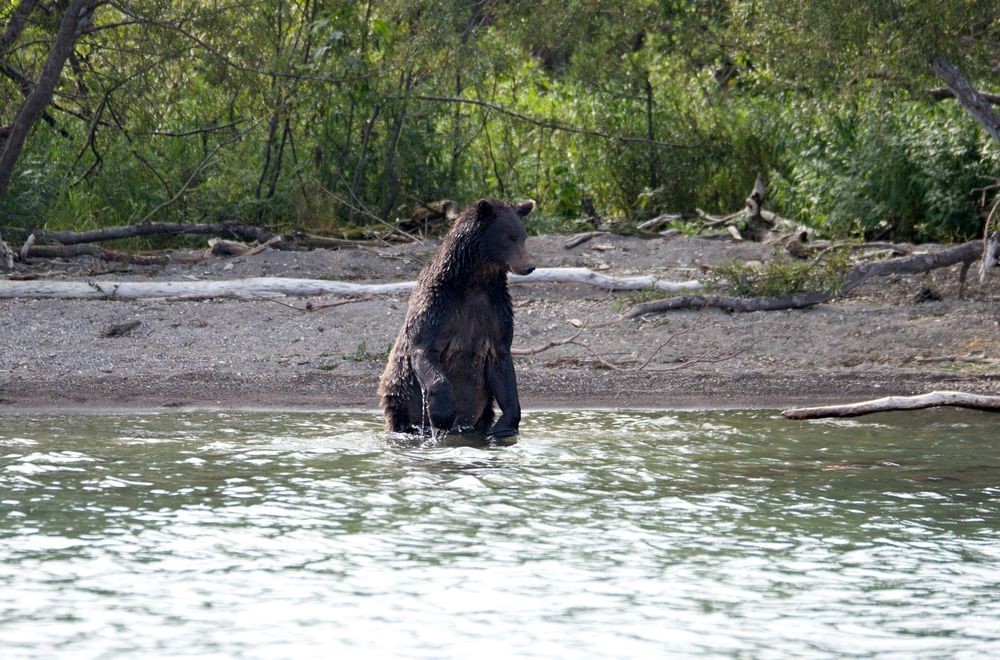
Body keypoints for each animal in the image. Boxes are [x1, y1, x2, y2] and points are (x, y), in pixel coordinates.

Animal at [378, 199, 536, 436]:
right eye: (508, 236)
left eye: (523, 236)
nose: (529, 266)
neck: (475, 279)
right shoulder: (438, 307)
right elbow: (423, 349)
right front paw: (441, 413)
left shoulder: (496, 311)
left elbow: (502, 364)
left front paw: (505, 425)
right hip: (399, 399)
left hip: (481, 415)